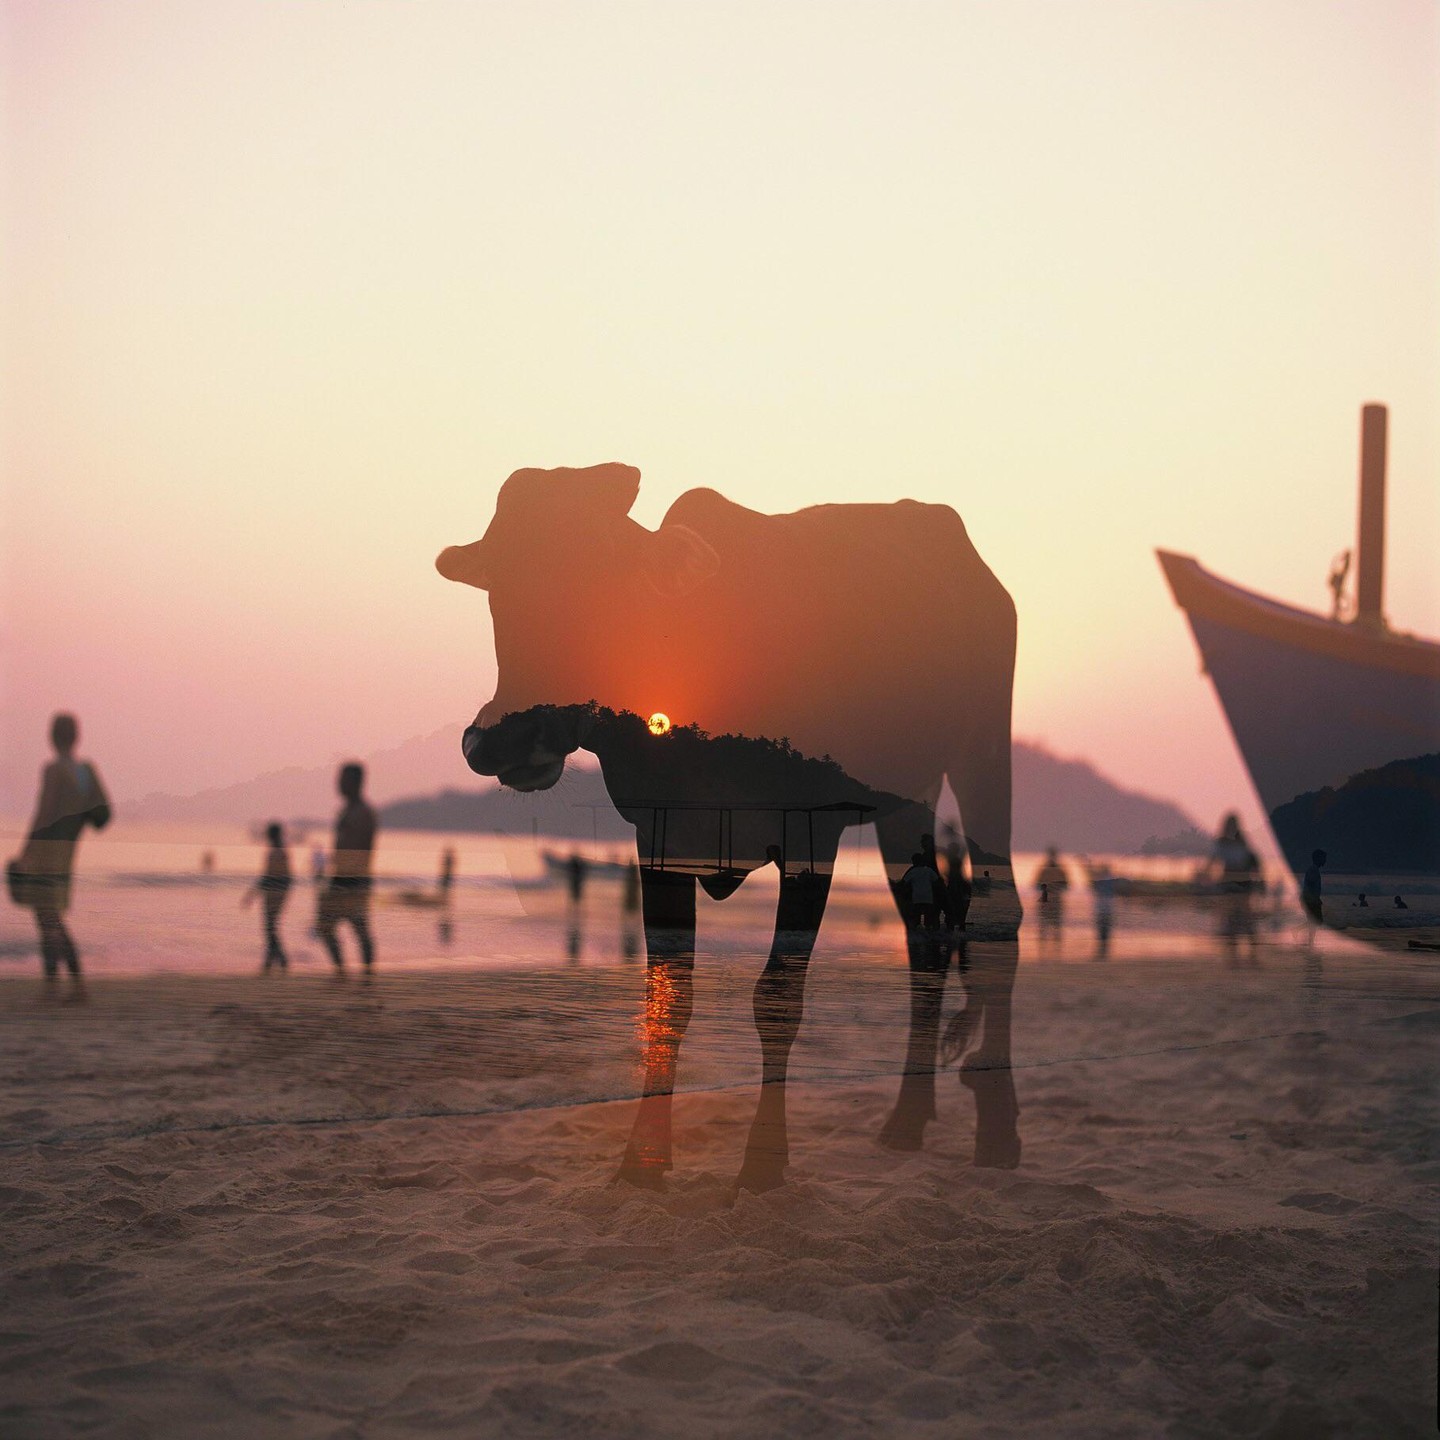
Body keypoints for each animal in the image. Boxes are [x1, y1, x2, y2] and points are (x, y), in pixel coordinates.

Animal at [438, 462, 1022, 1189]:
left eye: (601, 575)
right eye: (499, 584)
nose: (506, 740)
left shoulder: (811, 837)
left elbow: (776, 998)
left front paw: (764, 1166)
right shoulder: (657, 840)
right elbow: (668, 997)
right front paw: (643, 1163)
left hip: (983, 759)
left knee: (998, 915)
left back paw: (998, 1129)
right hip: (907, 803)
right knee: (927, 935)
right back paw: (908, 1120)